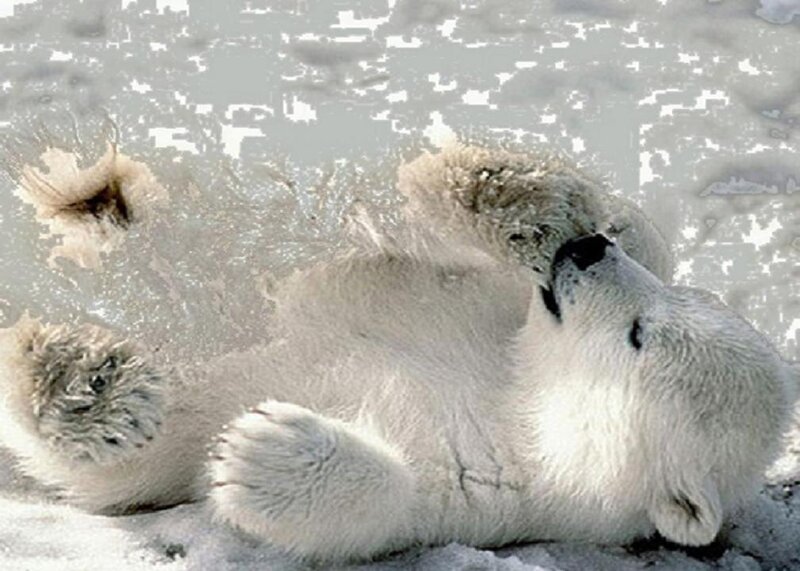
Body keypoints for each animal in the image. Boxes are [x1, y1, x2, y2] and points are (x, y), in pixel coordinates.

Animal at [0, 144, 796, 563]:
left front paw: (259, 449)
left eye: (639, 335)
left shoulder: (496, 491)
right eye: (668, 297)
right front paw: (522, 202)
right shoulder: (486, 312)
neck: (519, 394)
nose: (586, 251)